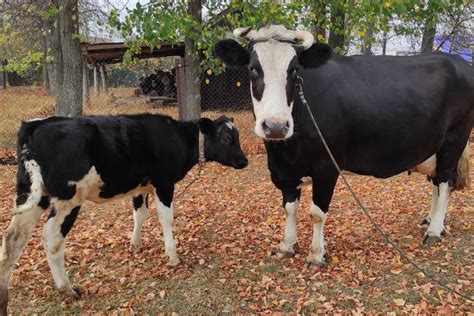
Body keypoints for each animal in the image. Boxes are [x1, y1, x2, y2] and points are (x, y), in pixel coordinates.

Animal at [0, 114, 248, 314]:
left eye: (236, 135)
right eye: (227, 138)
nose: (244, 160)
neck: (177, 138)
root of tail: (36, 125)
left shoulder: (140, 187)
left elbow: (140, 214)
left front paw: (135, 245)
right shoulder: (164, 183)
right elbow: (166, 218)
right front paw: (173, 256)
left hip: (31, 195)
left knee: (14, 238)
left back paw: (4, 296)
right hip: (68, 199)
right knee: (52, 238)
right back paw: (67, 289)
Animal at [216, 25, 474, 270]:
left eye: (294, 70)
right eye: (252, 69)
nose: (276, 126)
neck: (286, 150)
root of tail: (458, 60)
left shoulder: (326, 167)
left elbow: (317, 213)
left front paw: (316, 255)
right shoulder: (284, 170)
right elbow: (290, 208)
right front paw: (287, 246)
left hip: (454, 139)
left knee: (444, 182)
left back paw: (434, 231)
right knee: (437, 183)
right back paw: (431, 221)